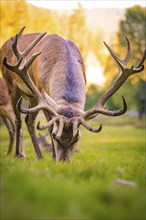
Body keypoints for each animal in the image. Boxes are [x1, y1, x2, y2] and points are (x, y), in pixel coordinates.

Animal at [0, 27, 145, 162]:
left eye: (77, 138)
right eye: (55, 136)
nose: (63, 162)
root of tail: (4, 45)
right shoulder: (42, 93)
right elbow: (49, 126)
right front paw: (53, 156)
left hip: (32, 97)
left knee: (29, 120)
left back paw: (39, 156)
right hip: (12, 86)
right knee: (17, 120)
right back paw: (18, 154)